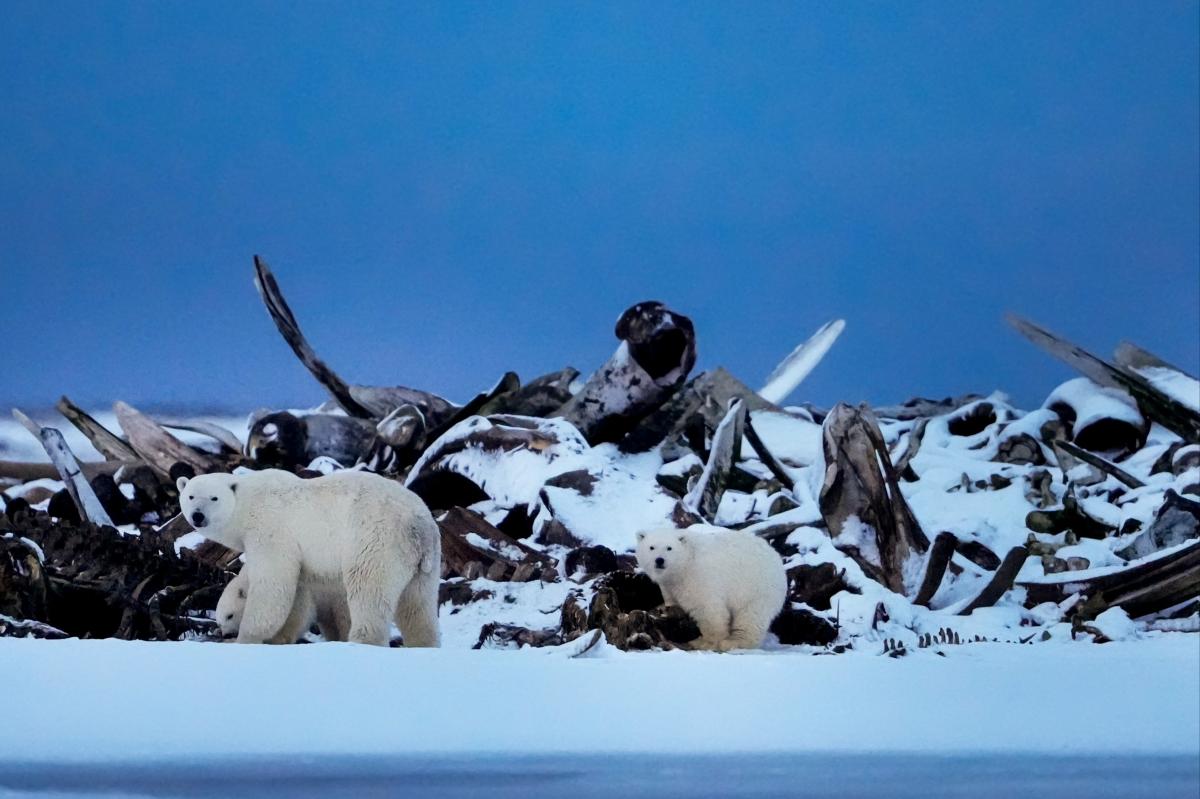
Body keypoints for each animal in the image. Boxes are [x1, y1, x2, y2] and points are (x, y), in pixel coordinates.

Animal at [636, 525, 786, 652]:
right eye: (651, 547)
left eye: (669, 548)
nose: (659, 560)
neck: (686, 563)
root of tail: (776, 558)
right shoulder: (670, 585)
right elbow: (672, 603)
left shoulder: (699, 577)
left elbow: (708, 611)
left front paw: (705, 642)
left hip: (756, 588)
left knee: (750, 617)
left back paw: (733, 642)